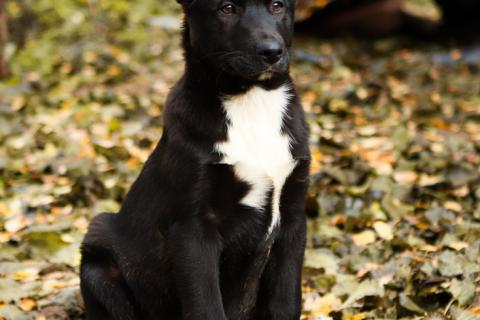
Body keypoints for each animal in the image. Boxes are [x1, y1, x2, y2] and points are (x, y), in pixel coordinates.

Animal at [79, 0, 312, 318]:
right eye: (226, 8)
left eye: (277, 5)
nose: (271, 52)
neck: (251, 101)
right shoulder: (193, 230)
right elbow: (206, 306)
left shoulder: (293, 218)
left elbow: (285, 303)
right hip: (98, 250)